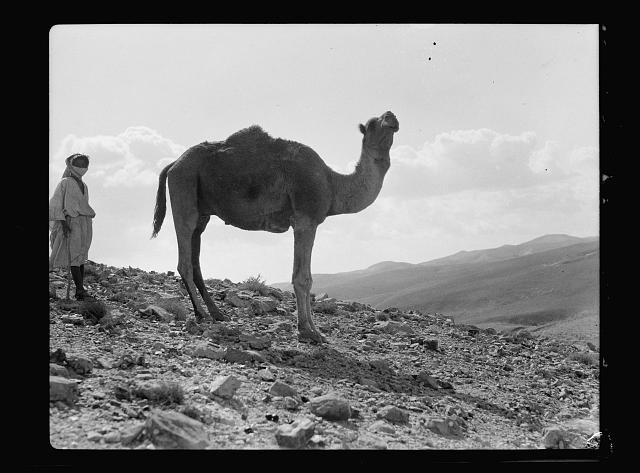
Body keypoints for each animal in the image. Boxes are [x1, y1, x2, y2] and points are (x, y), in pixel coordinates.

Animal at [152, 111, 399, 344]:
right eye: (372, 123)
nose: (391, 116)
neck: (332, 183)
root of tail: (173, 164)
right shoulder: (305, 220)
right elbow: (303, 278)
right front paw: (309, 331)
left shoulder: (305, 222)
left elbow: (305, 277)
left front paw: (313, 330)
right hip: (184, 188)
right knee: (184, 257)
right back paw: (202, 314)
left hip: (202, 209)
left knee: (195, 257)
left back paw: (216, 313)